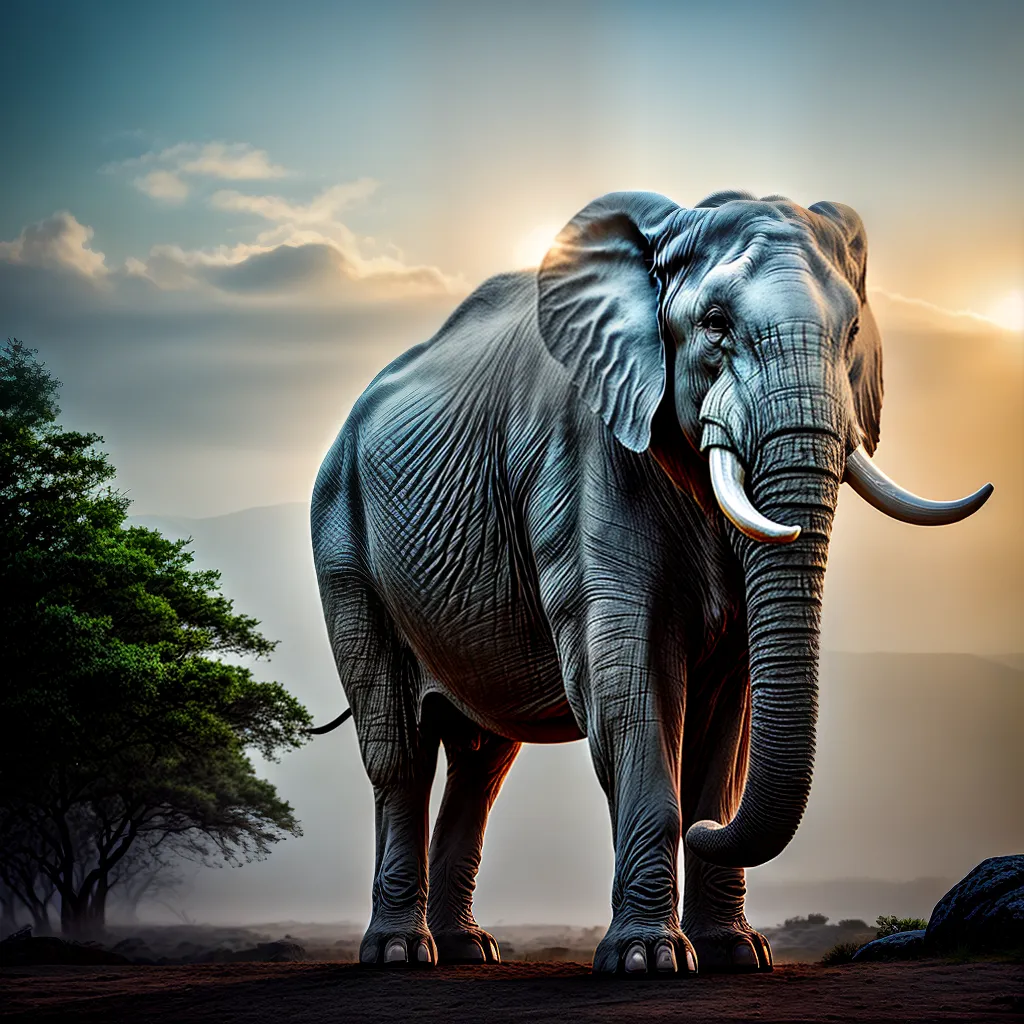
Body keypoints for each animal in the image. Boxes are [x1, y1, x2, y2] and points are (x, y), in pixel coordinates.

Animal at [311, 190, 992, 975]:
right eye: (716, 324)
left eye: (852, 332)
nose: (704, 831)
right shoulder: (583, 460)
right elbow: (627, 684)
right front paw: (647, 960)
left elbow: (731, 710)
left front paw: (735, 954)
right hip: (342, 543)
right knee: (400, 753)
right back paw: (399, 952)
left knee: (483, 763)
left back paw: (468, 951)